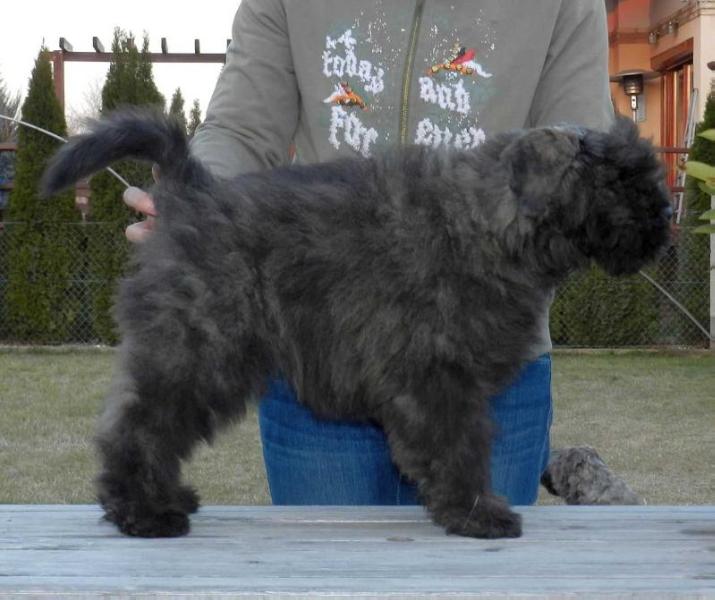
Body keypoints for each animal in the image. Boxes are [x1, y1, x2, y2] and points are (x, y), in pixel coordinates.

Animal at [43, 108, 672, 540]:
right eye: (619, 178)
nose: (664, 219)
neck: (488, 225)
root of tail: (190, 196)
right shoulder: (438, 377)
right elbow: (460, 446)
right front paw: (477, 513)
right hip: (199, 350)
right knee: (140, 427)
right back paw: (144, 512)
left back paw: (166, 500)